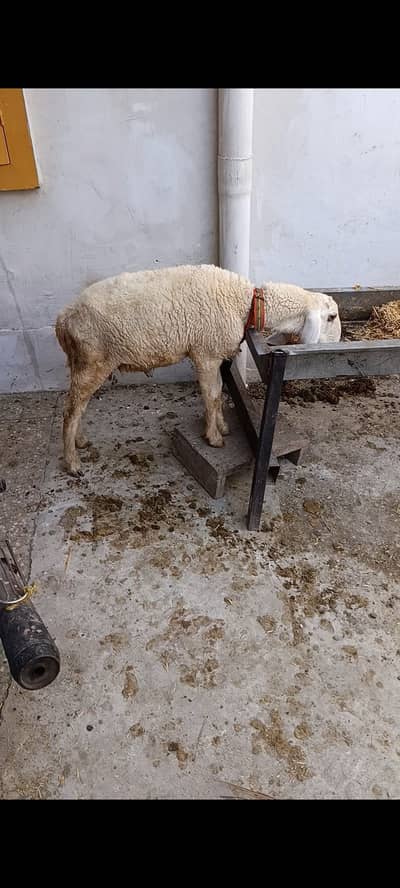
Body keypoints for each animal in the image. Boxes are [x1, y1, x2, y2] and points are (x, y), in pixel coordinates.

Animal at [55, 264, 341, 475]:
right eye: (331, 317)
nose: (337, 344)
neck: (245, 302)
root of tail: (64, 318)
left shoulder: (215, 355)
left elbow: (220, 392)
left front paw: (222, 425)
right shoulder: (206, 354)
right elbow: (211, 395)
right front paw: (213, 437)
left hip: (81, 361)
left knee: (78, 407)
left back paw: (80, 442)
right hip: (93, 360)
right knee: (71, 410)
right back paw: (72, 462)